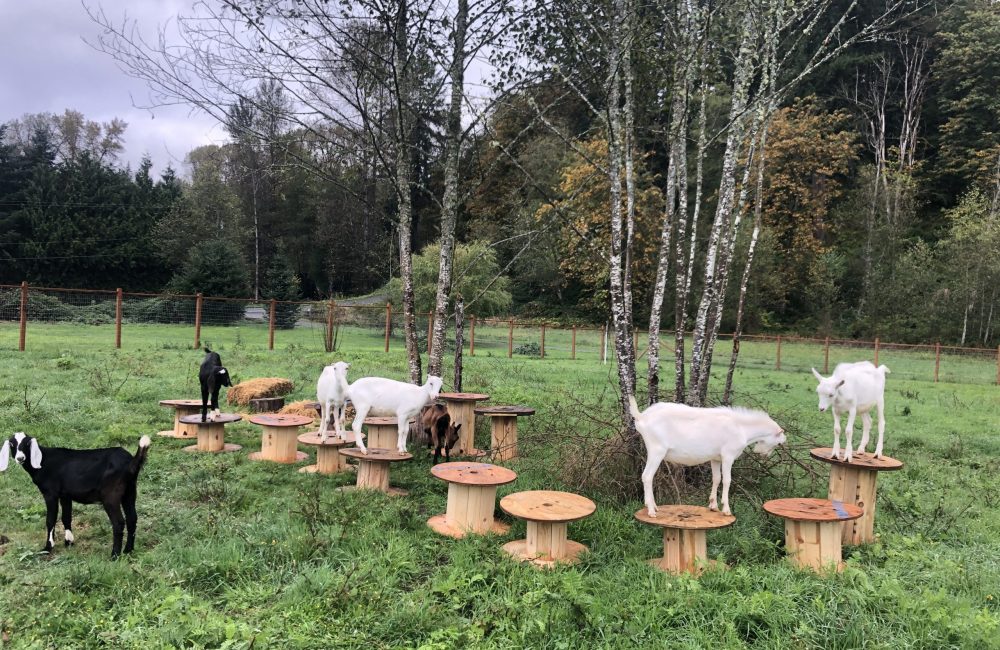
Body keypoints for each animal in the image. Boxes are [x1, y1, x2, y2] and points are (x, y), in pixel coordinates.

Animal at [0, 430, 152, 556]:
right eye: (12, 444)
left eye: (27, 443)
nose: (20, 458)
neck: (43, 461)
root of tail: (131, 462)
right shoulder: (65, 495)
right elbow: (66, 517)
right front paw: (69, 542)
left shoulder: (51, 493)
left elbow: (50, 519)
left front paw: (48, 548)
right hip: (130, 492)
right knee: (132, 518)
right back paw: (128, 550)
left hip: (111, 495)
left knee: (119, 522)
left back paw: (115, 555)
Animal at [628, 394, 784, 516]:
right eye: (778, 444)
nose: (762, 454)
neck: (741, 428)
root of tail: (642, 417)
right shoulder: (728, 456)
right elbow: (727, 480)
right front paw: (726, 509)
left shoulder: (716, 458)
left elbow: (716, 479)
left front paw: (713, 505)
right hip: (657, 450)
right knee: (647, 476)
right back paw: (651, 511)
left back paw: (653, 507)